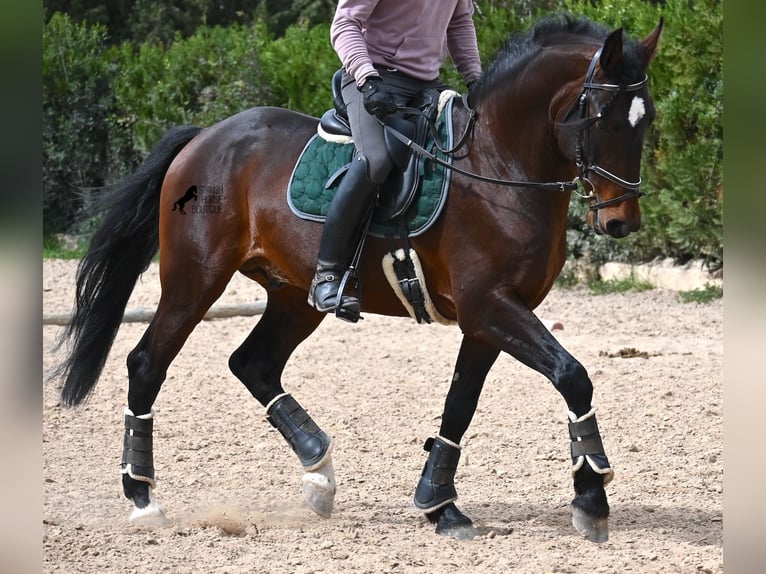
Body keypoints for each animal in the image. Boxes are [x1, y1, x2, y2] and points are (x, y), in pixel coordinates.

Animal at [55, 15, 664, 544]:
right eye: (601, 117)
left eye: (648, 119)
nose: (621, 222)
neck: (499, 165)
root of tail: (205, 138)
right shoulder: (490, 306)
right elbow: (572, 375)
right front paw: (591, 497)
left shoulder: (488, 317)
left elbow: (460, 404)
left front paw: (439, 505)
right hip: (194, 281)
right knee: (147, 363)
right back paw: (143, 498)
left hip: (293, 297)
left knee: (253, 364)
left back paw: (319, 473)